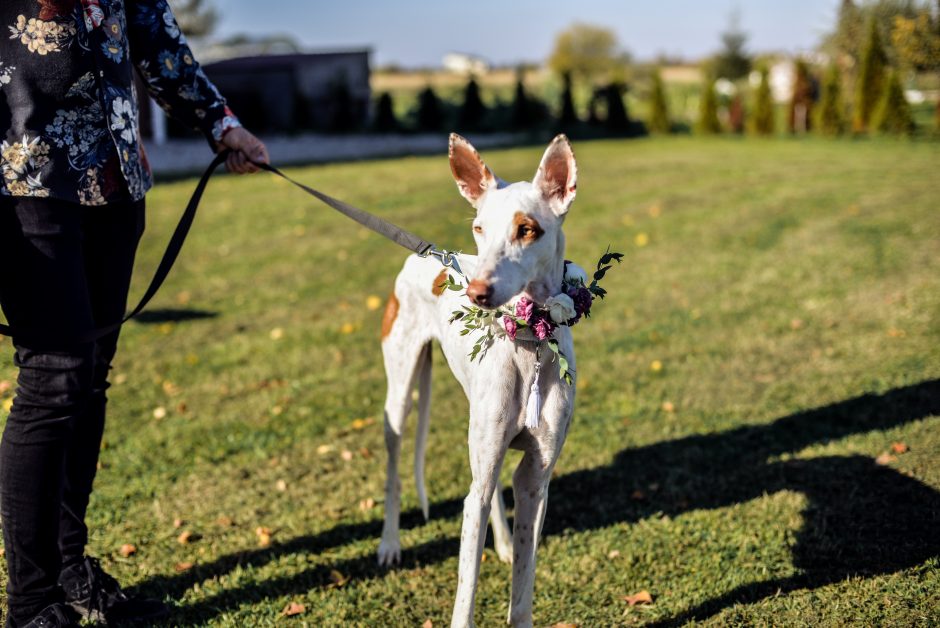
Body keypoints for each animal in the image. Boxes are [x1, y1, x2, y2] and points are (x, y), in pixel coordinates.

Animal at [378, 134, 576, 628]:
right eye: (480, 228)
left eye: (527, 229)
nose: (477, 293)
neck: (529, 339)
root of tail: (426, 255)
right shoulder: (478, 493)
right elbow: (465, 594)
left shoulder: (536, 481)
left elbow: (522, 593)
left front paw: (511, 553)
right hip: (399, 396)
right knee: (394, 466)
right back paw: (389, 543)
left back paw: (501, 542)